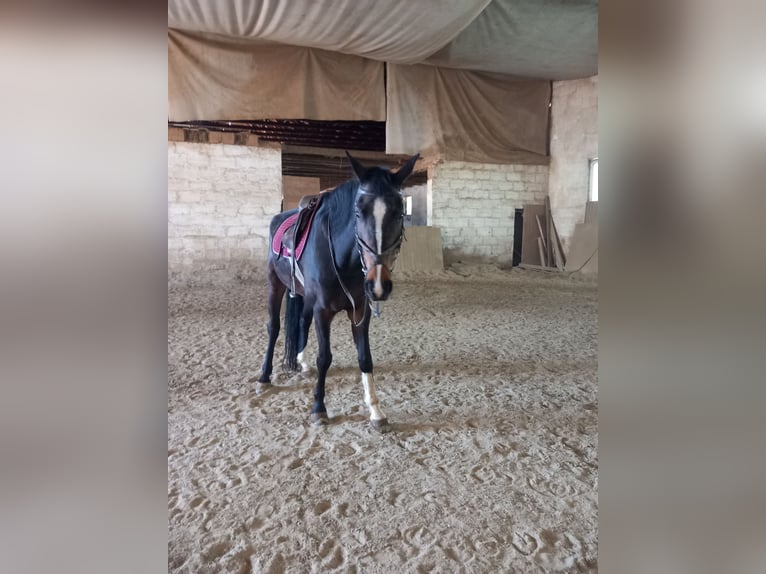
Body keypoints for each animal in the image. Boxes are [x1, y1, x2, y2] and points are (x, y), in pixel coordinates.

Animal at [255, 152, 419, 430]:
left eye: (399, 213)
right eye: (358, 212)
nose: (378, 285)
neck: (346, 261)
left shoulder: (361, 311)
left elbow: (365, 357)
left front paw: (376, 411)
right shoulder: (323, 311)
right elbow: (325, 357)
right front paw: (318, 408)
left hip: (304, 296)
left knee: (301, 322)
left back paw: (301, 362)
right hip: (274, 284)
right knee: (274, 327)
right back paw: (264, 377)